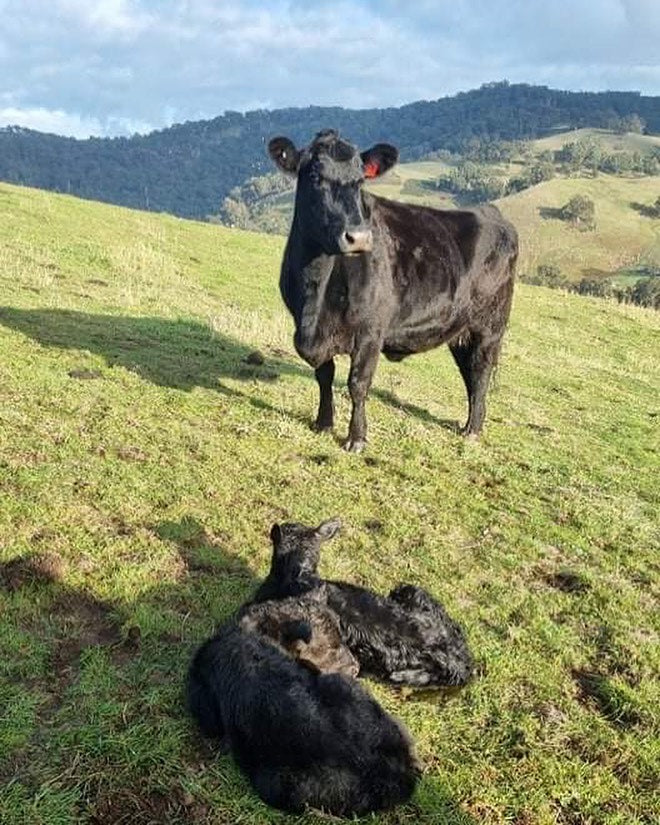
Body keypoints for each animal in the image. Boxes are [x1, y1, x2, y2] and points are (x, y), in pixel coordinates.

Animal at [270, 129, 520, 450]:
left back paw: (473, 430)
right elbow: (324, 376)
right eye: (314, 175)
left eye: (360, 180)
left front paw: (356, 438)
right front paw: (323, 423)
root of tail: (491, 211)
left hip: (489, 326)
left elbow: (357, 384)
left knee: (481, 372)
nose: (359, 237)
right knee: (469, 373)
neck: (315, 292)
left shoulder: (370, 331)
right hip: (460, 329)